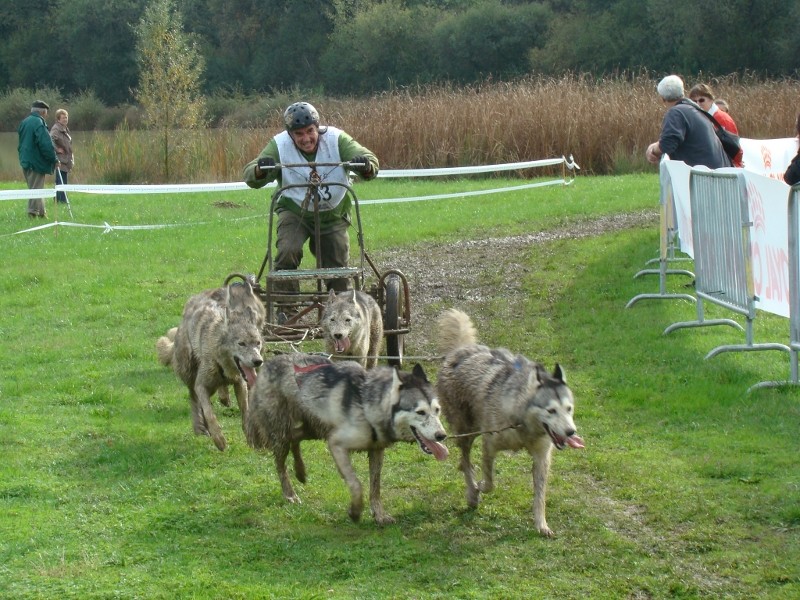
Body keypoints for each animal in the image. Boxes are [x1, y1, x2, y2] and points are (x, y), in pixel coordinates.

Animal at [156, 278, 266, 450]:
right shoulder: (201, 385)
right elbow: (209, 413)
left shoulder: (240, 384)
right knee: (194, 399)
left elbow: (246, 413)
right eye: (241, 344)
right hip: (190, 374)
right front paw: (219, 439)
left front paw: (253, 440)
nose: (258, 361)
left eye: (257, 343)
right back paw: (200, 428)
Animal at [247, 354, 446, 524]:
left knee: (294, 438)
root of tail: (267, 364)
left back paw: (301, 471)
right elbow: (356, 484)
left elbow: (375, 487)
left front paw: (379, 515)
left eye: (437, 410)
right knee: (280, 464)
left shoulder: (376, 450)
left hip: (314, 429)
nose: (442, 436)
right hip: (285, 436)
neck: (366, 404)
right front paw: (355, 511)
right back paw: (289, 494)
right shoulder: (336, 444)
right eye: (420, 412)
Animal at [434, 310, 584, 540]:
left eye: (569, 409)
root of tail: (459, 351)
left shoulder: (542, 457)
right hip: (467, 431)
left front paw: (541, 524)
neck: (523, 424)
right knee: (466, 461)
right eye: (551, 411)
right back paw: (471, 492)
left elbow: (540, 495)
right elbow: (489, 482)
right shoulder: (489, 445)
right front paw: (480, 487)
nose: (570, 432)